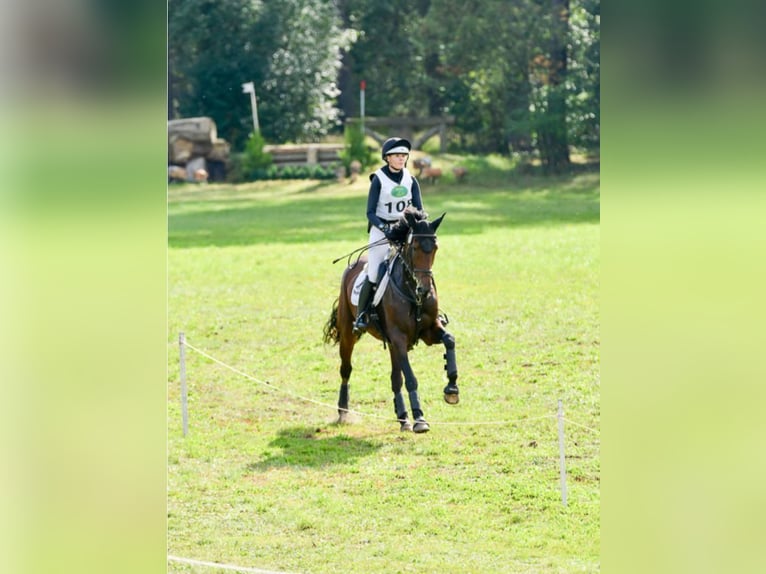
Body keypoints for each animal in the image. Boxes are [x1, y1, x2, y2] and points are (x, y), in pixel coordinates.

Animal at [324, 209, 462, 434]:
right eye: (414, 247)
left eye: (435, 248)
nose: (424, 290)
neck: (411, 292)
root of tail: (353, 266)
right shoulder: (398, 338)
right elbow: (411, 378)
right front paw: (420, 418)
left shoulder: (428, 331)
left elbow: (449, 340)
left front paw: (451, 389)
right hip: (349, 332)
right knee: (346, 368)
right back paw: (343, 411)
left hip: (390, 344)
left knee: (395, 378)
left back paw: (403, 417)